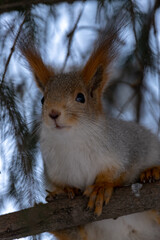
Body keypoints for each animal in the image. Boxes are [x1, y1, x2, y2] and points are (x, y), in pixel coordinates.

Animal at [17, 19, 160, 239]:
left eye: (80, 97)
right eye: (42, 99)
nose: (53, 113)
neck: (71, 141)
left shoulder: (126, 147)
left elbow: (122, 172)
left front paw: (101, 186)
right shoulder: (53, 170)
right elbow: (60, 186)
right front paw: (65, 190)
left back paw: (152, 172)